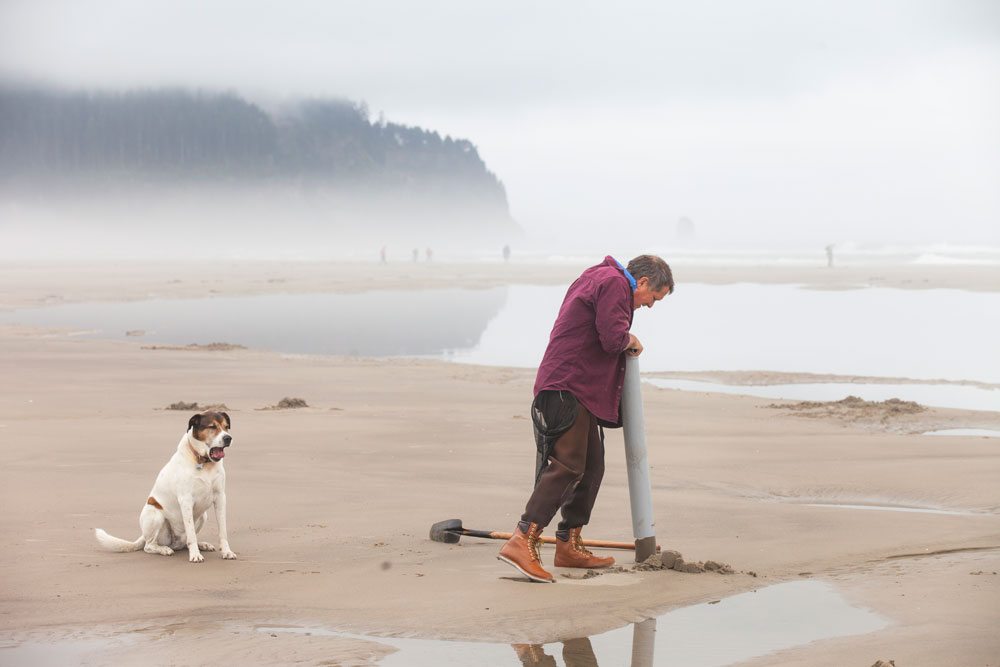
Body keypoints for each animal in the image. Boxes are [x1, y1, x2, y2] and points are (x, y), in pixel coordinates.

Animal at [97, 412, 238, 564]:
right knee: (150, 546)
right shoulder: (186, 500)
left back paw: (202, 545)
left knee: (185, 542)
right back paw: (164, 549)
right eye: (212, 426)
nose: (228, 438)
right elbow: (191, 535)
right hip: (156, 515)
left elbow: (222, 531)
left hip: (203, 516)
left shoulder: (220, 497)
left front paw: (226, 552)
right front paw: (195, 555)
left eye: (226, 427)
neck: (203, 462)